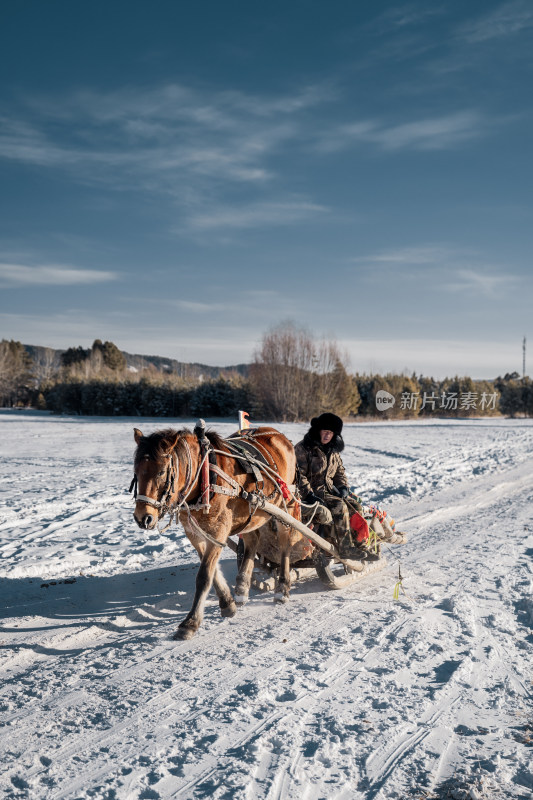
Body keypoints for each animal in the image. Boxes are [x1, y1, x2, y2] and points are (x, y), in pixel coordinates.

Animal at [130, 424, 300, 636]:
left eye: (161, 472)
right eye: (136, 471)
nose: (143, 518)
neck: (204, 477)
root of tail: (280, 436)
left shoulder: (219, 529)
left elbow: (204, 575)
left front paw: (191, 621)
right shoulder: (194, 532)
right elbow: (212, 570)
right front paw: (228, 603)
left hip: (286, 505)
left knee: (285, 542)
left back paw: (282, 588)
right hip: (251, 513)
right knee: (252, 540)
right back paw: (242, 587)